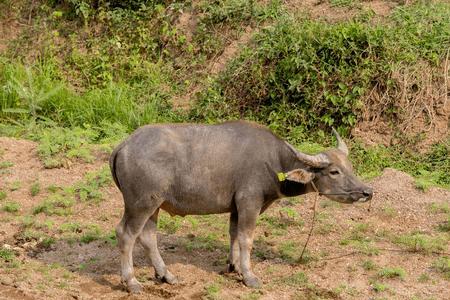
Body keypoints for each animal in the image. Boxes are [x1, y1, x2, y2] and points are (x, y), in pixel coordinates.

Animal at [110, 120, 372, 292]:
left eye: (350, 166)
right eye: (334, 171)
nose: (367, 192)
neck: (275, 163)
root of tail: (124, 146)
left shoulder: (236, 208)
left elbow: (234, 234)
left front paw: (233, 266)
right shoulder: (249, 203)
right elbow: (247, 239)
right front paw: (249, 276)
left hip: (154, 205)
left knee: (148, 237)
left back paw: (166, 275)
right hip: (140, 204)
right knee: (126, 234)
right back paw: (131, 282)